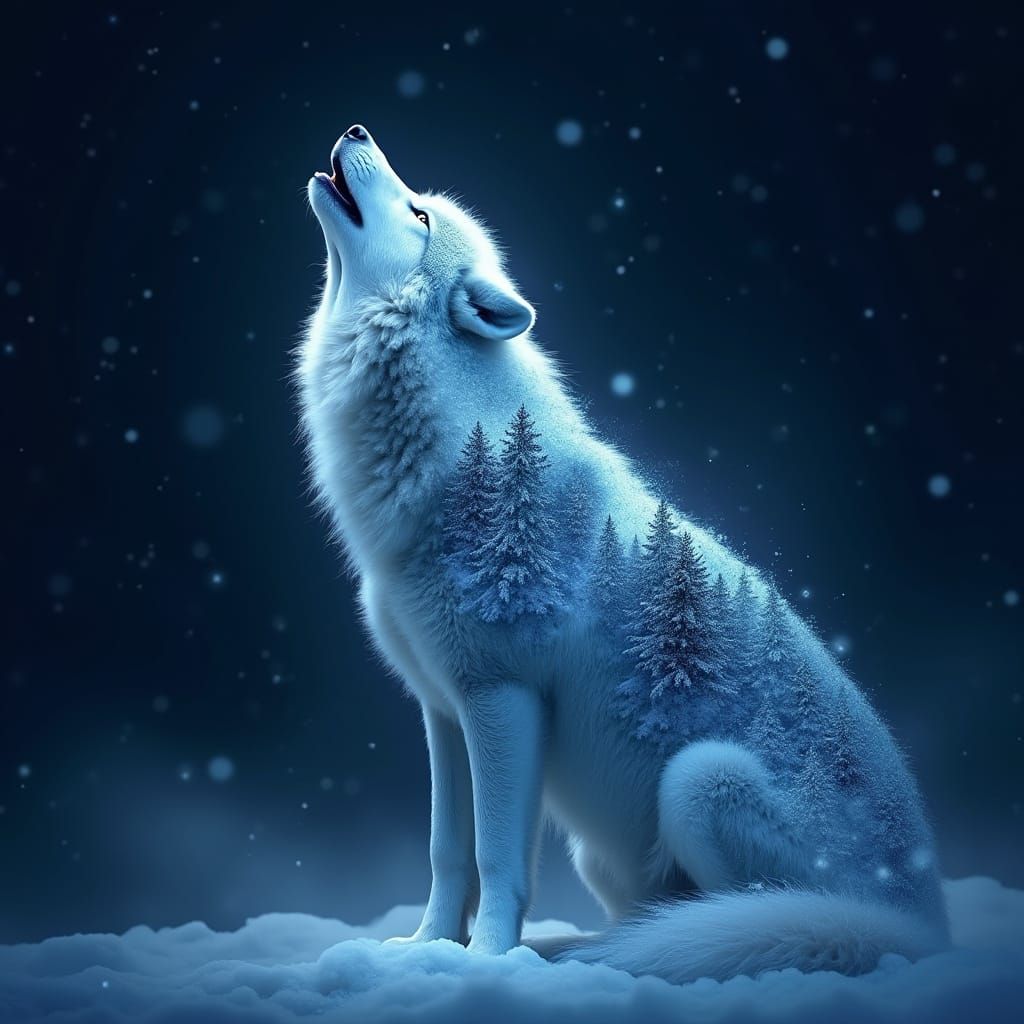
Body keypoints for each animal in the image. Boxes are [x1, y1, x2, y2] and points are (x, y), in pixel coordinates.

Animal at [299, 124, 949, 983]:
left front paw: (489, 961)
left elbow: (497, 860)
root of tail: (925, 928)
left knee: (744, 920)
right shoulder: (442, 707)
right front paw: (426, 951)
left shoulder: (503, 698)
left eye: (419, 214)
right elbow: (447, 852)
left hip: (699, 782)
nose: (357, 131)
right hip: (607, 853)